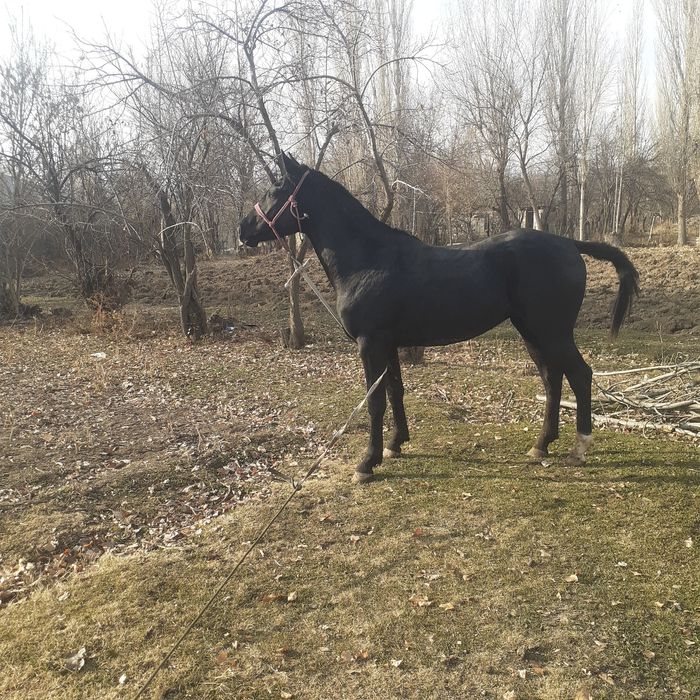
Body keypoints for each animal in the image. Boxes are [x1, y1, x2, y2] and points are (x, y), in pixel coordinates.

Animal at [239, 153, 640, 483]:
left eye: (274, 190)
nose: (243, 230)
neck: (368, 258)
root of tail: (569, 243)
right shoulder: (389, 344)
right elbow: (395, 391)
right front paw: (395, 445)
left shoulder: (371, 343)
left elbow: (375, 401)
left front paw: (367, 463)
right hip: (531, 332)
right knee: (552, 379)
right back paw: (542, 444)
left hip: (552, 332)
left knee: (580, 375)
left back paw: (579, 448)